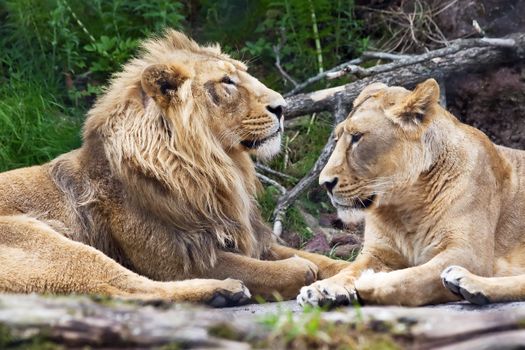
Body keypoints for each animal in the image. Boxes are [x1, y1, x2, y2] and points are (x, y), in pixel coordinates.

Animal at [1, 31, 348, 308]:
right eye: (226, 82)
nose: (282, 108)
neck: (217, 167)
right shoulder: (175, 259)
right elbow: (253, 268)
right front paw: (300, 270)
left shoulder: (246, 237)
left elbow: (328, 260)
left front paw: (341, 281)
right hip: (46, 241)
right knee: (121, 285)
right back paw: (225, 291)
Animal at [296, 78, 524, 306]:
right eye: (336, 139)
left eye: (357, 137)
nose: (324, 183)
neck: (404, 209)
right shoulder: (377, 252)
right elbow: (351, 269)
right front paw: (321, 289)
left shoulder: (469, 253)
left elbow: (411, 279)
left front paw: (370, 281)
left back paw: (465, 281)